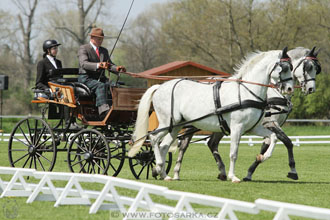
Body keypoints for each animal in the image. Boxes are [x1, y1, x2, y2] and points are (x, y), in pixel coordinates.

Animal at [173, 46, 320, 180]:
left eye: (317, 69)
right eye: (308, 67)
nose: (311, 89)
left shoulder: (262, 125)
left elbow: (267, 144)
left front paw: (253, 168)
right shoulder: (270, 123)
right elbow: (287, 142)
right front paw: (292, 170)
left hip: (218, 126)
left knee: (211, 143)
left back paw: (222, 172)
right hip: (193, 124)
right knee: (184, 145)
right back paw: (176, 172)